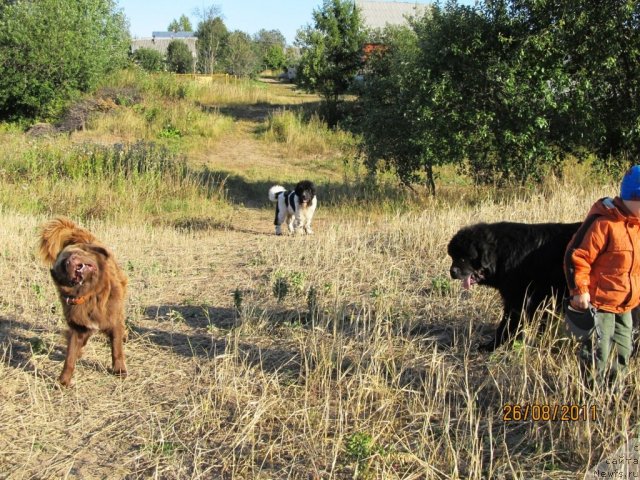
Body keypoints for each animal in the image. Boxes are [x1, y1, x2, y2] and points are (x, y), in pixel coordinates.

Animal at [39, 218, 128, 386]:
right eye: (63, 265)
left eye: (76, 253)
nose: (70, 260)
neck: (90, 294)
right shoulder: (78, 327)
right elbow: (70, 357)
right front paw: (63, 381)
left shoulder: (113, 319)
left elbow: (116, 348)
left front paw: (119, 370)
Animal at [448, 221, 584, 348]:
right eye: (453, 256)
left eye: (465, 257)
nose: (452, 271)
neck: (501, 253)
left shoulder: (518, 299)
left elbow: (507, 324)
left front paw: (493, 346)